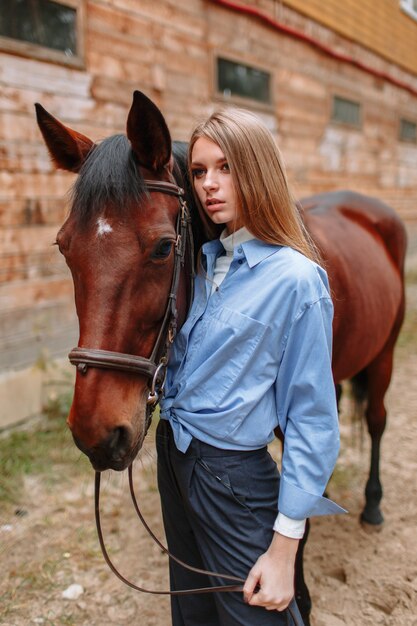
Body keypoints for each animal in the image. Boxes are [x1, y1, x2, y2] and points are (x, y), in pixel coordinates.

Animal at [35, 90, 406, 620]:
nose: (95, 433)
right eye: (64, 248)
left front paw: (299, 594)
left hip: (385, 351)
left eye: (163, 248)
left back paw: (373, 505)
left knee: (375, 421)